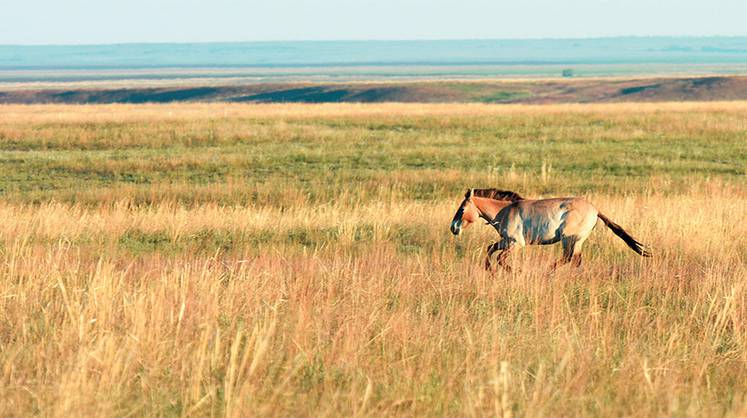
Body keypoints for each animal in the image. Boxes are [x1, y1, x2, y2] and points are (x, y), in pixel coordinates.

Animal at [450, 189, 656, 272]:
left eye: (462, 209)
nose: (453, 228)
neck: (506, 210)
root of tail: (596, 210)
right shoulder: (506, 241)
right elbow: (490, 249)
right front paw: (490, 270)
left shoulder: (516, 244)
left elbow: (500, 258)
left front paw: (515, 271)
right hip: (576, 241)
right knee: (575, 260)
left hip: (569, 239)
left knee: (569, 259)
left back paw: (549, 271)